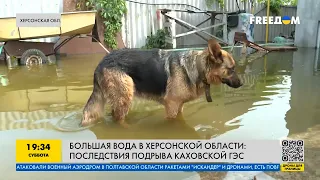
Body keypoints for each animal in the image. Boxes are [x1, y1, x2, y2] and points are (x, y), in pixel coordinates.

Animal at [80, 38, 242, 127]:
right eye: (231, 69)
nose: (241, 84)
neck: (197, 67)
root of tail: (102, 62)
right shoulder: (171, 106)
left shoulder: (179, 106)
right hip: (125, 94)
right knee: (117, 119)